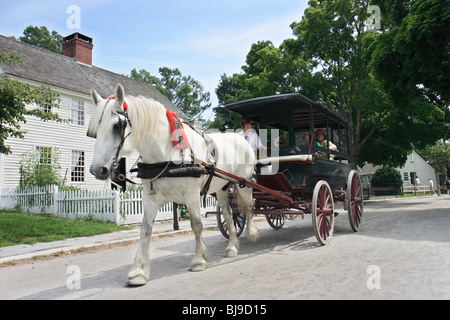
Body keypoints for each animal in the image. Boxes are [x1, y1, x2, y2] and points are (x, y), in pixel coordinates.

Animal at [88, 84, 260, 284]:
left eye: (117, 126)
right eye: (94, 130)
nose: (98, 170)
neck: (166, 154)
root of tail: (242, 139)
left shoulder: (192, 195)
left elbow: (196, 225)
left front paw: (198, 260)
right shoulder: (150, 198)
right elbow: (145, 230)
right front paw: (138, 270)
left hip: (244, 183)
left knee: (249, 207)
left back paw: (252, 234)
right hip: (223, 187)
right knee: (228, 213)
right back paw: (232, 246)